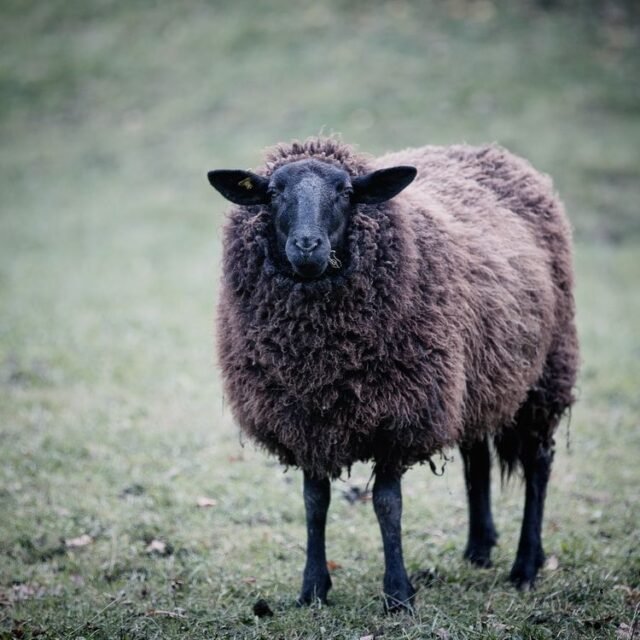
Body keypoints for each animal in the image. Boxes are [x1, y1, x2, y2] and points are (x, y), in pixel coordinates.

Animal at [207, 137, 578, 611]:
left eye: (346, 192)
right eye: (273, 192)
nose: (307, 245)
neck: (321, 359)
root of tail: (487, 150)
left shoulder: (399, 416)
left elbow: (387, 504)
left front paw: (398, 594)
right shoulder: (304, 418)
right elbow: (314, 502)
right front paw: (313, 589)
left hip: (546, 376)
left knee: (538, 464)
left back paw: (526, 566)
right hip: (476, 378)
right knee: (476, 457)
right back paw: (479, 548)